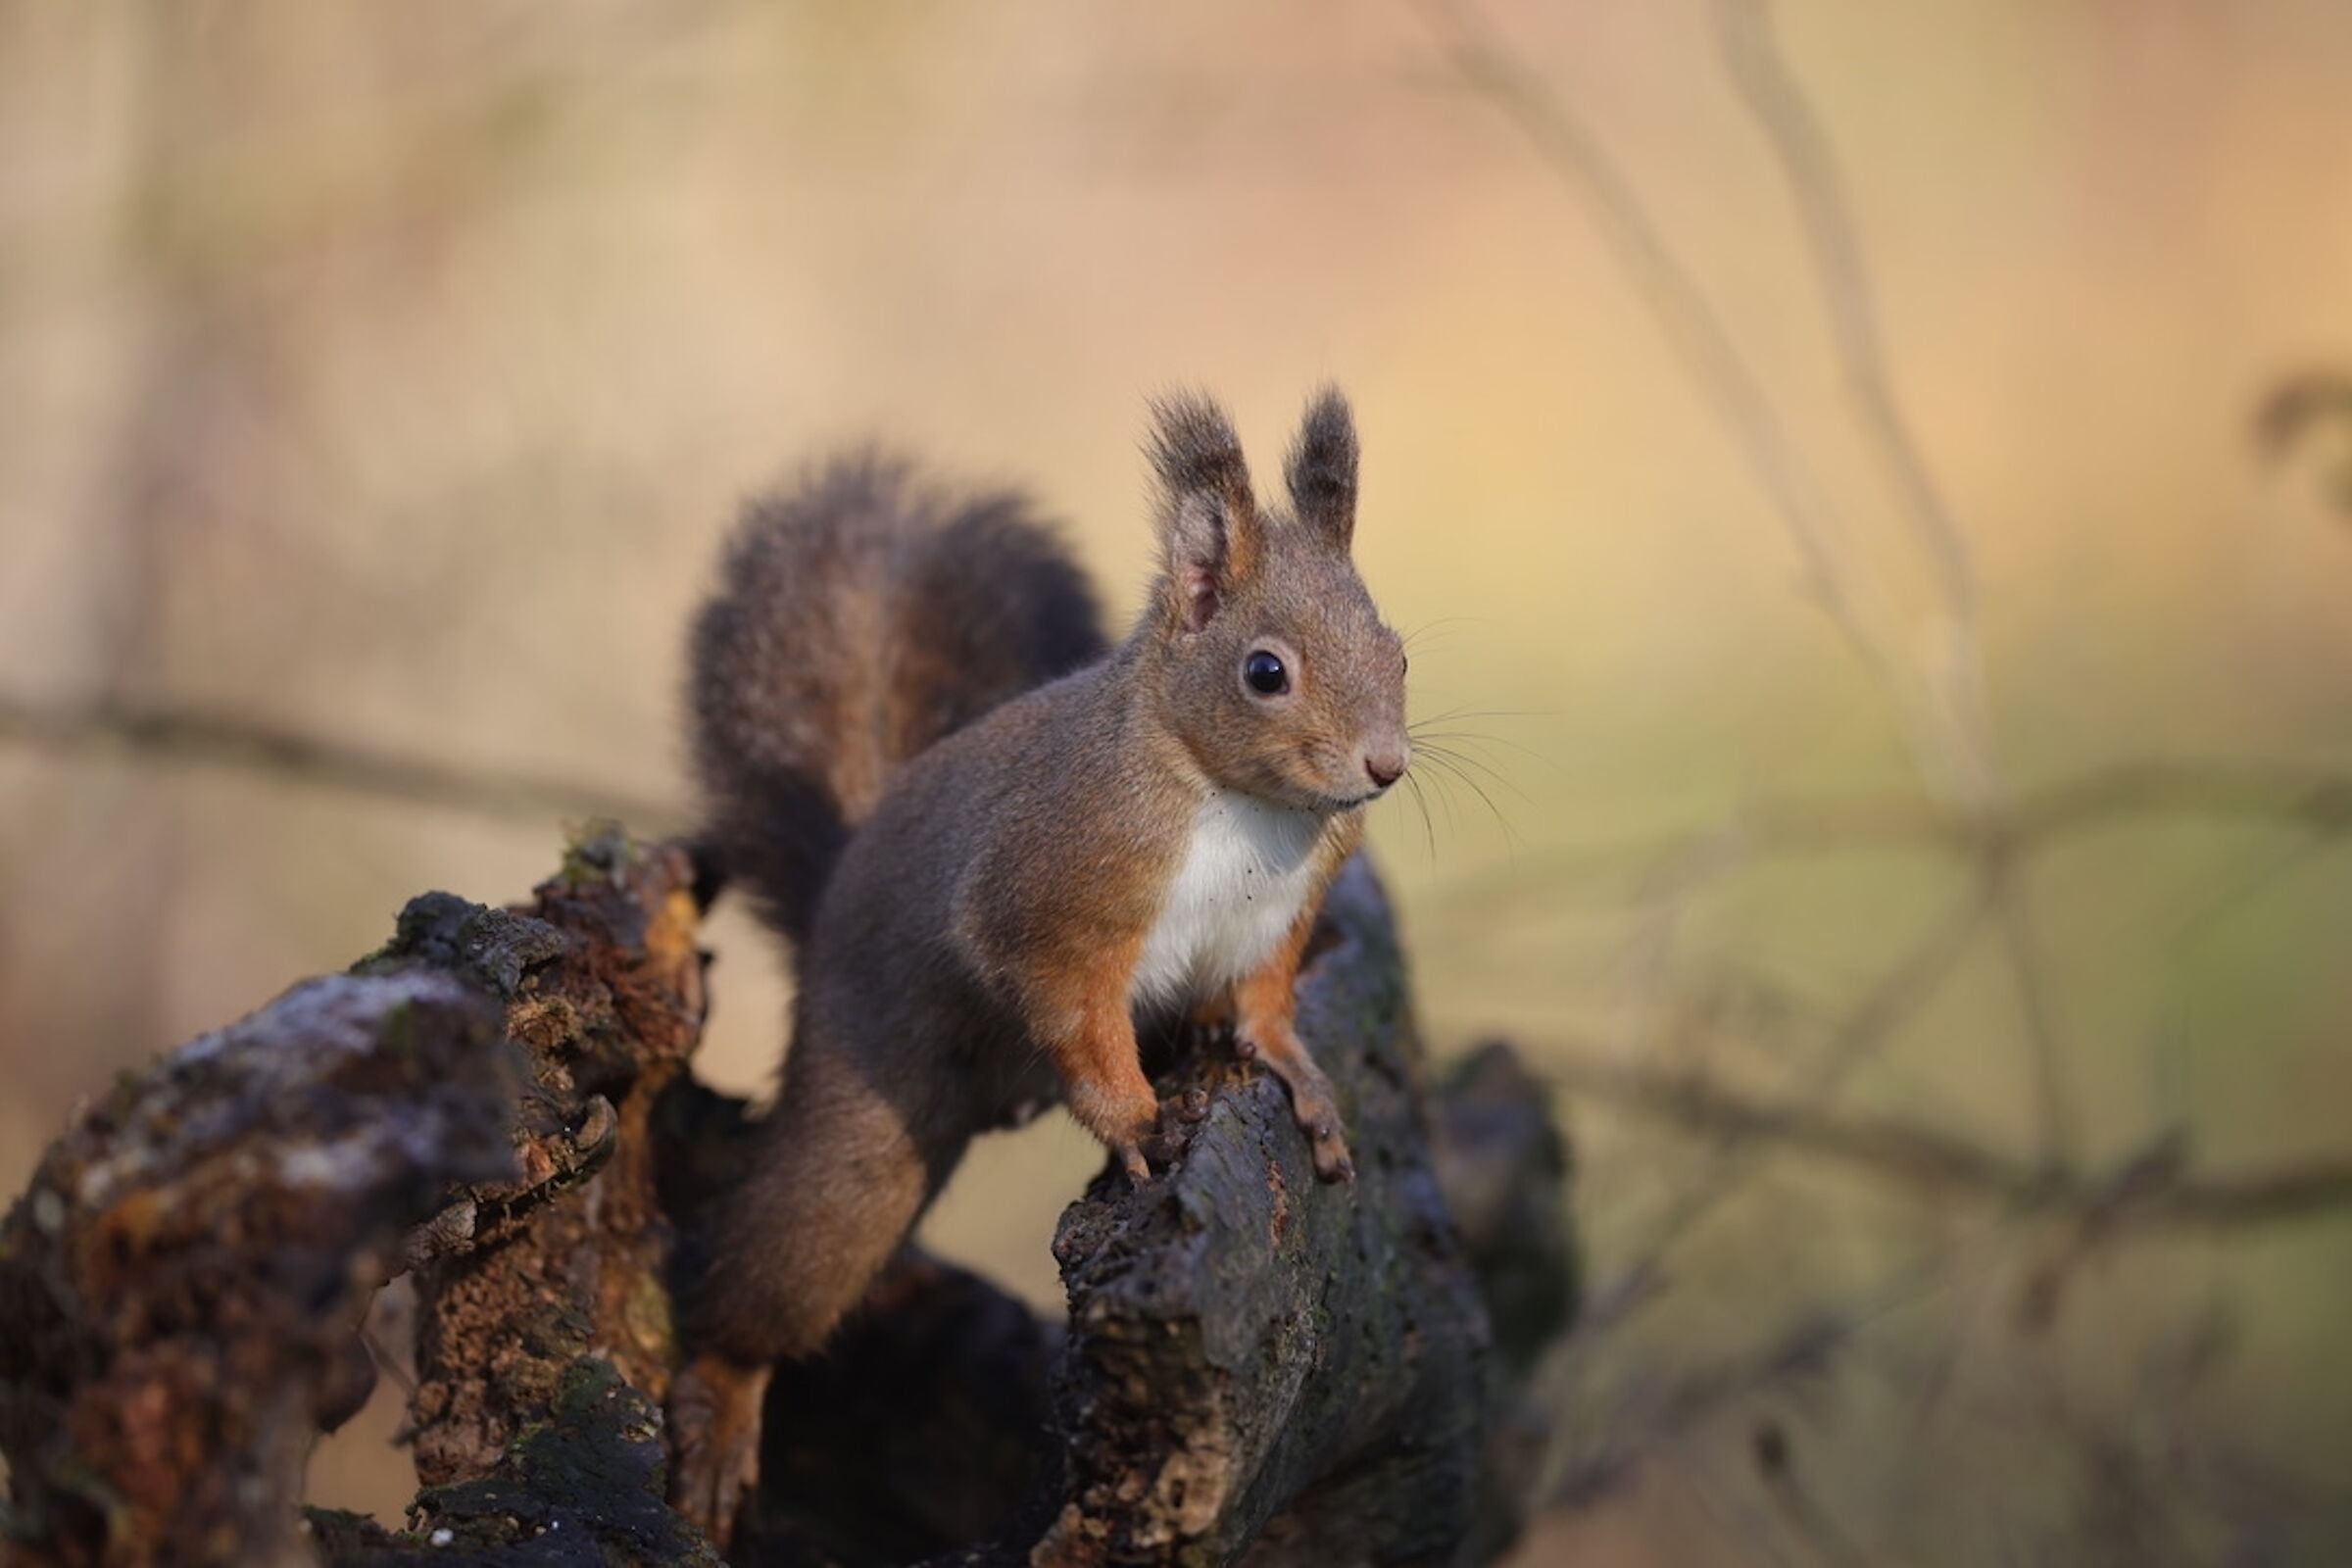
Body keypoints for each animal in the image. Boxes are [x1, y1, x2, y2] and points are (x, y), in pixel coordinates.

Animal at [670, 388, 1410, 1536]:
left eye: (1400, 650)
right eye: (1265, 672)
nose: (1386, 766)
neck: (1248, 807)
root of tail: (836, 889)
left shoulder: (1280, 918)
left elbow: (1263, 1002)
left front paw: (1296, 1075)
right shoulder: (1049, 891)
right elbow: (1068, 1008)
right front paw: (1133, 1120)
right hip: (869, 1092)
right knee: (787, 1254)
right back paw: (719, 1401)